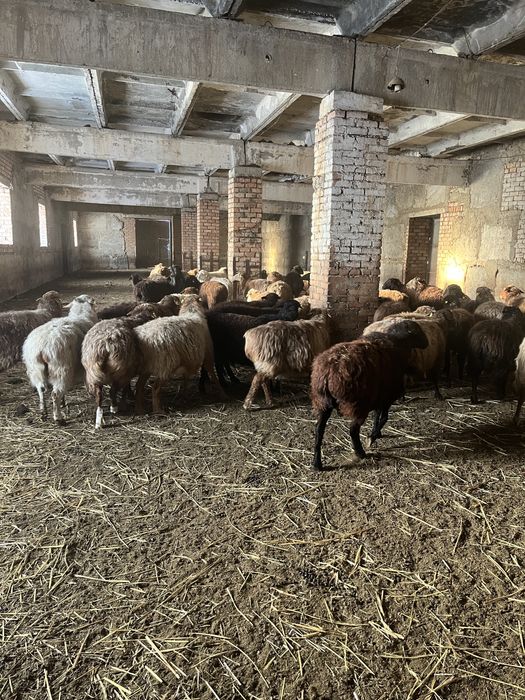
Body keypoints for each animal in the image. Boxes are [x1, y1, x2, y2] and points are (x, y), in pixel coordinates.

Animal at [22, 295, 98, 423]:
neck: (81, 313)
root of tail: (41, 346)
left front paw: (63, 402)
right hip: (60, 369)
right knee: (55, 393)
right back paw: (58, 418)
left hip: (35, 369)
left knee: (41, 389)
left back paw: (43, 412)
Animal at [311, 319, 429, 469]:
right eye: (417, 331)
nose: (427, 343)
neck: (399, 344)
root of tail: (329, 371)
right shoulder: (388, 396)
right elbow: (384, 417)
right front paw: (372, 437)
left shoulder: (379, 395)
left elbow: (377, 415)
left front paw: (376, 433)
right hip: (358, 403)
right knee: (353, 430)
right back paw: (360, 452)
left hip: (322, 403)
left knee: (319, 430)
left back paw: (317, 463)